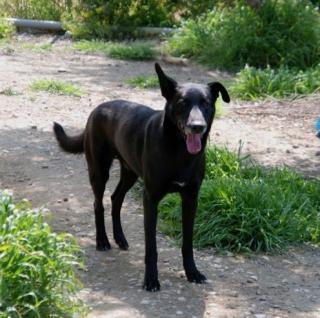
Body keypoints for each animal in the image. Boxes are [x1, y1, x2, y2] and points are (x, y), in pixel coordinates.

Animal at [54, 63, 230, 292]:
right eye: (182, 103)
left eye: (206, 103)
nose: (197, 126)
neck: (178, 150)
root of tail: (97, 109)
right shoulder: (151, 199)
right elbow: (151, 247)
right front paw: (151, 279)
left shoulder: (191, 199)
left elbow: (188, 243)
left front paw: (192, 272)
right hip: (99, 171)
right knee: (98, 204)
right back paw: (102, 241)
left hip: (130, 172)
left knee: (116, 198)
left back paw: (120, 238)